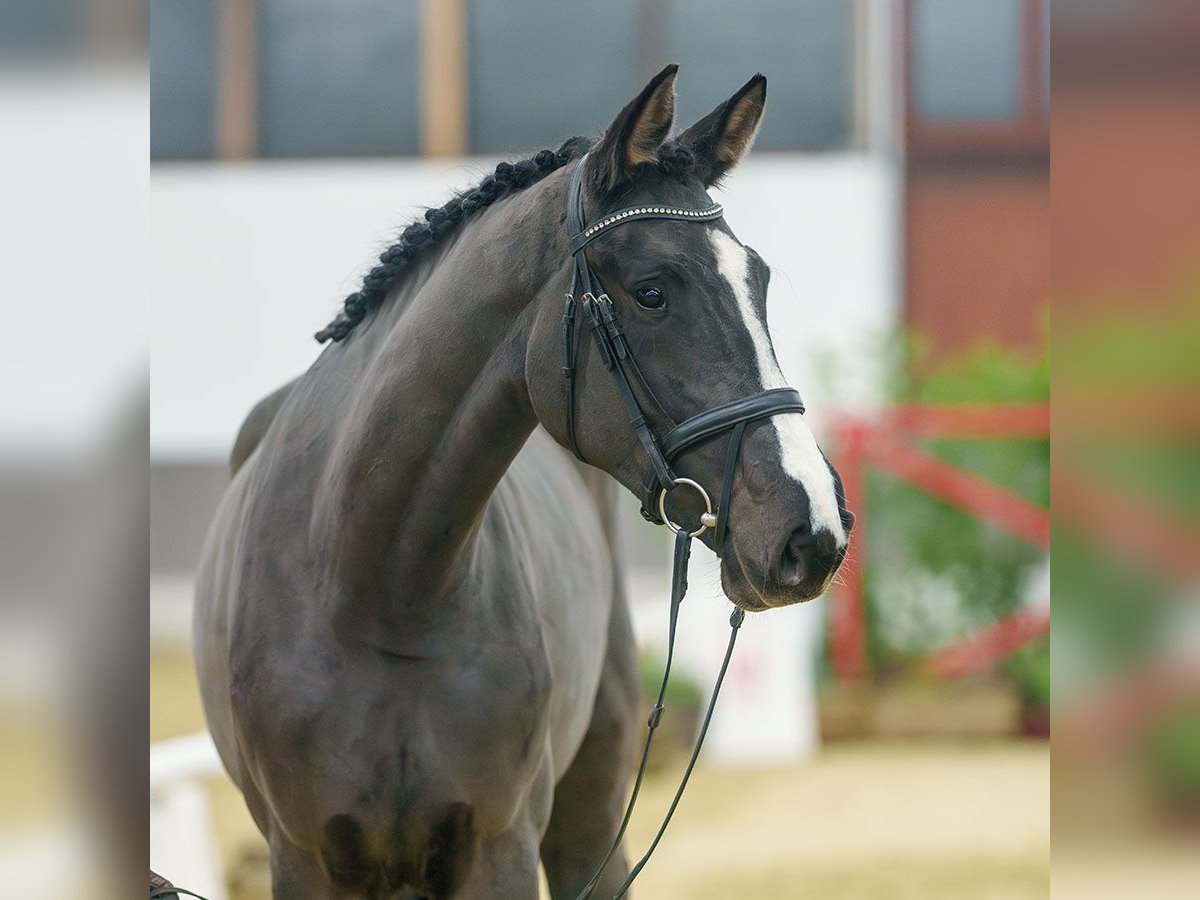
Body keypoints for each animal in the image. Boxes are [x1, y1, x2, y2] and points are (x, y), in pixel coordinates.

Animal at [194, 66, 854, 897]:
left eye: (758, 281)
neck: (373, 589)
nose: (814, 530)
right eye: (651, 291)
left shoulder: (499, 846)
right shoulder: (303, 856)